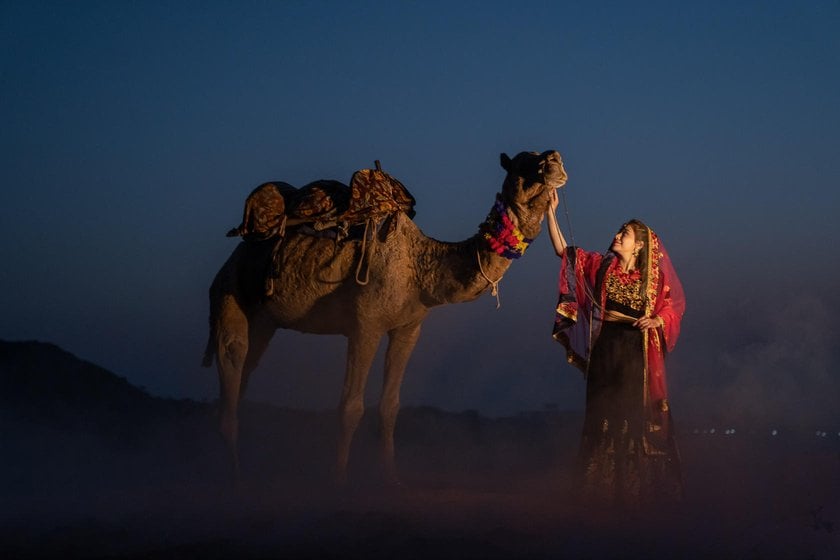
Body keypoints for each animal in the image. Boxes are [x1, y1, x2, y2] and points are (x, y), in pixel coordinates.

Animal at [203, 151, 568, 484]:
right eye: (522, 165)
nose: (556, 162)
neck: (420, 268)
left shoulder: (408, 328)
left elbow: (390, 407)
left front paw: (390, 478)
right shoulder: (365, 325)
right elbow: (351, 406)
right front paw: (339, 480)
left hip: (265, 321)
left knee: (245, 374)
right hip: (228, 291)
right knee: (232, 361)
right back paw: (234, 476)